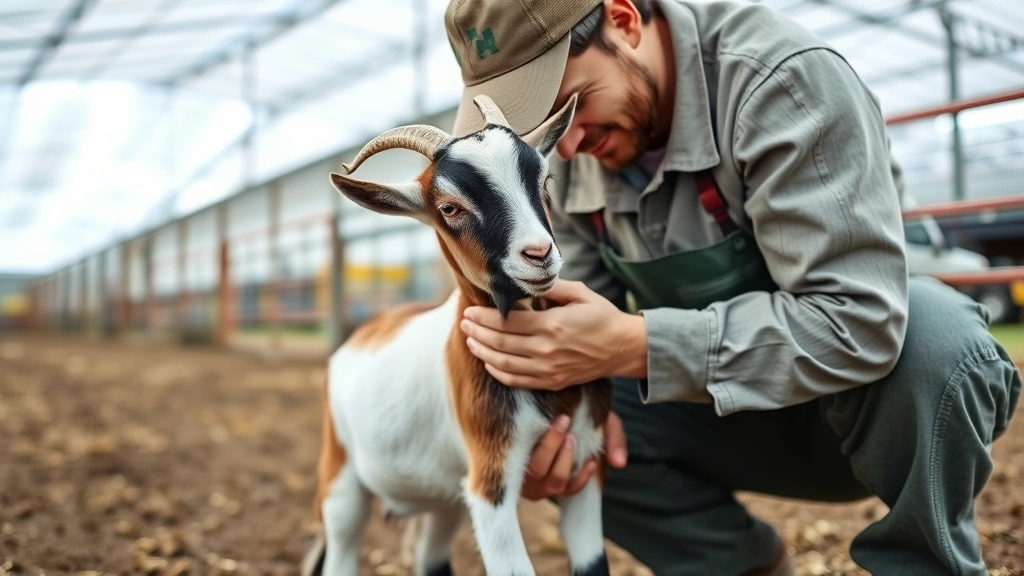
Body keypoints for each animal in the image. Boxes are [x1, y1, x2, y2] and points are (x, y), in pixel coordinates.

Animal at [302, 94, 613, 576]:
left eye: (545, 180)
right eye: (449, 208)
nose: (540, 255)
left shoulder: (584, 460)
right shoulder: (490, 479)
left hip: (444, 499)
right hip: (340, 479)